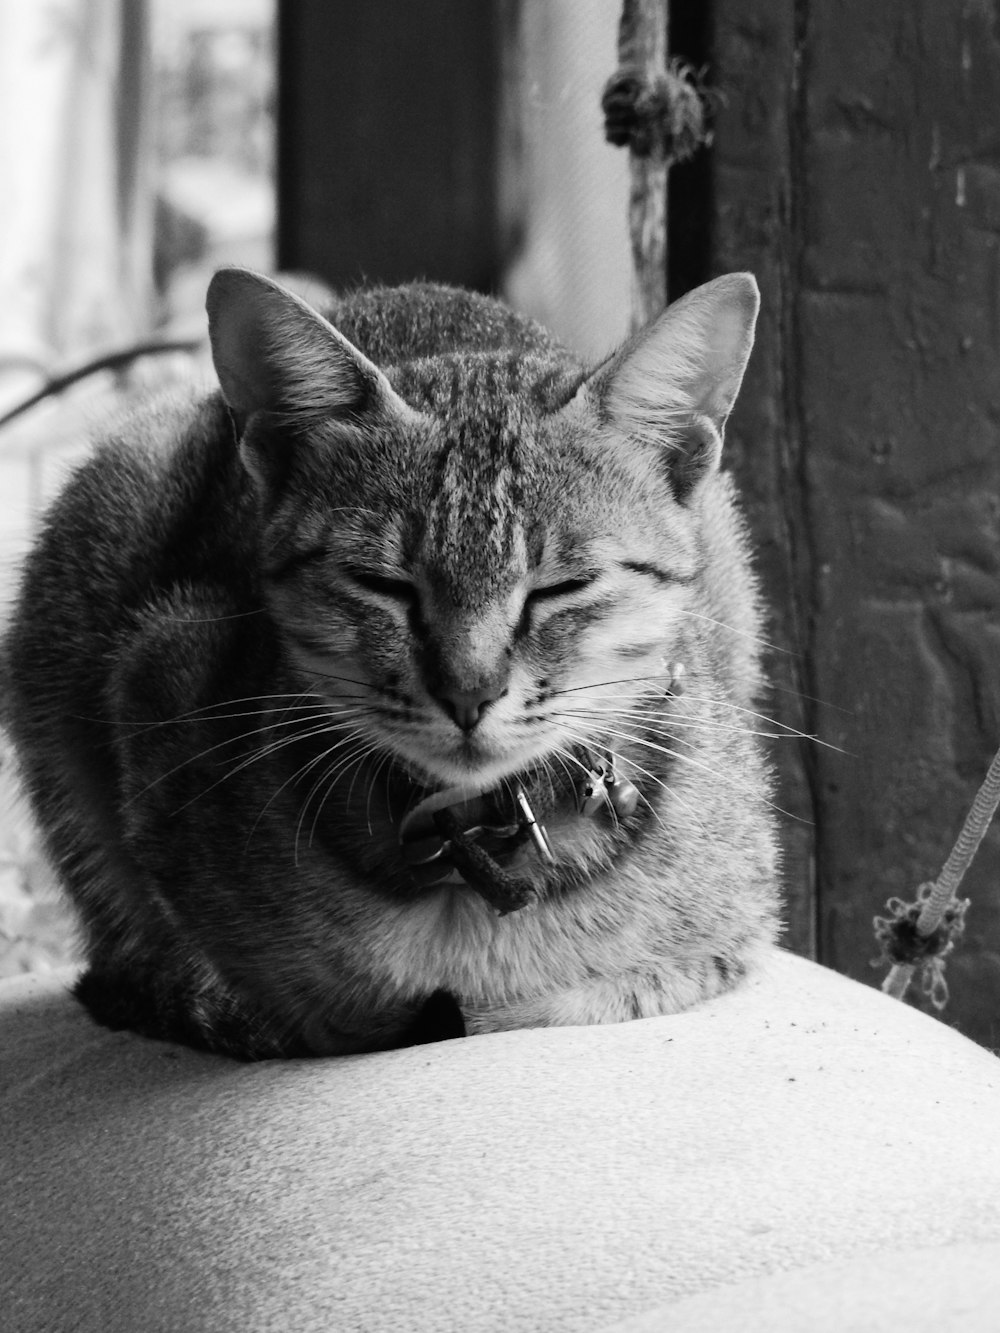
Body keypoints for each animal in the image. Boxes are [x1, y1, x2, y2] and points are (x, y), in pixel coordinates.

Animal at [0, 267, 784, 1061]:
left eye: (562, 586)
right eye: (384, 584)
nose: (469, 692)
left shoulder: (729, 935)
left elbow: (601, 988)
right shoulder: (158, 667)